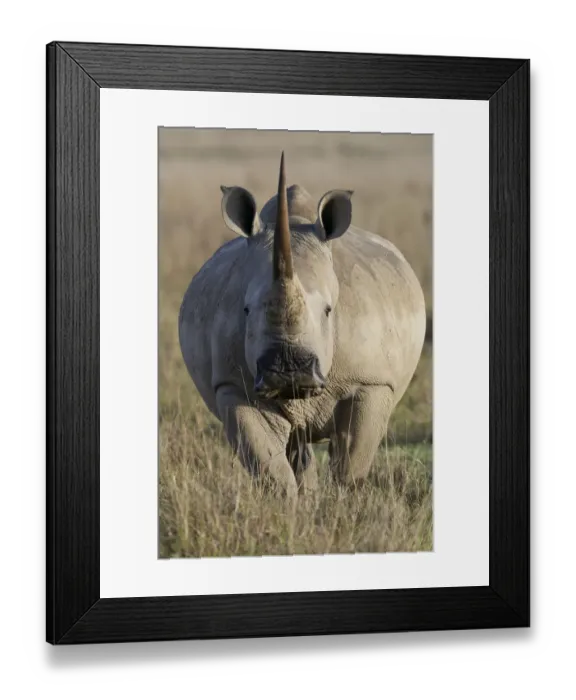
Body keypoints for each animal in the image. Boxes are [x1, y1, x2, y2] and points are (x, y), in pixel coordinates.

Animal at [178, 153, 426, 500]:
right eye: (246, 309)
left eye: (329, 311)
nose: (288, 372)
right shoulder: (233, 385)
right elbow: (269, 466)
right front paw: (290, 509)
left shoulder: (372, 381)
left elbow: (351, 463)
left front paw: (343, 505)